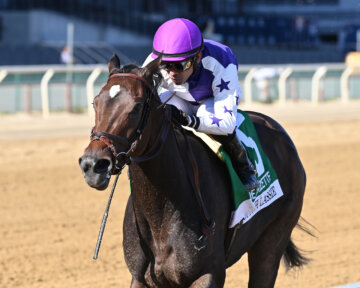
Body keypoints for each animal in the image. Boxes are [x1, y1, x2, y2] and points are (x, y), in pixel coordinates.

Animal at [79, 55, 310, 286]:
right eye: (95, 102)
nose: (93, 165)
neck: (162, 210)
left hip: (273, 237)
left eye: (136, 107)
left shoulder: (208, 274)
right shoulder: (140, 278)